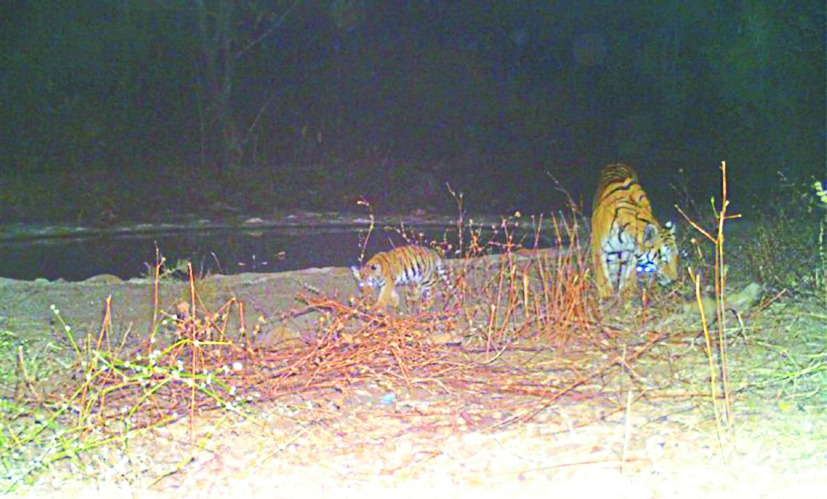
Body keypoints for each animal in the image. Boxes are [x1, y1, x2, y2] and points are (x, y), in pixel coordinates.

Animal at [590, 163, 679, 300]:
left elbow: (627, 276)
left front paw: (625, 296)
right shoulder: (598, 248)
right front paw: (607, 297)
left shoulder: (631, 253)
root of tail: (617, 162)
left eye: (676, 256)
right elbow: (603, 276)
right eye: (664, 258)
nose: (674, 279)